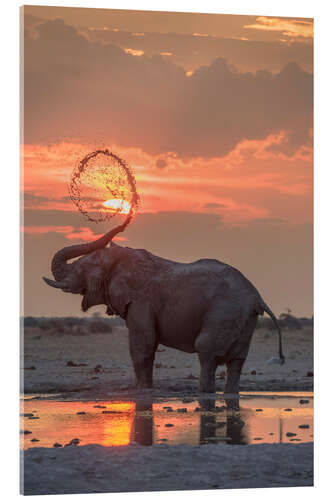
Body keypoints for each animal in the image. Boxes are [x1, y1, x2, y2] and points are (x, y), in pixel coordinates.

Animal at [42, 219, 284, 402]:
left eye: (82, 268)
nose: (125, 219)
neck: (122, 259)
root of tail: (256, 297)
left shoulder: (141, 300)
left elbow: (142, 345)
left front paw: (140, 391)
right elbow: (148, 346)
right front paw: (145, 389)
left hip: (224, 312)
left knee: (206, 352)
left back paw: (204, 394)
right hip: (244, 320)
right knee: (237, 361)